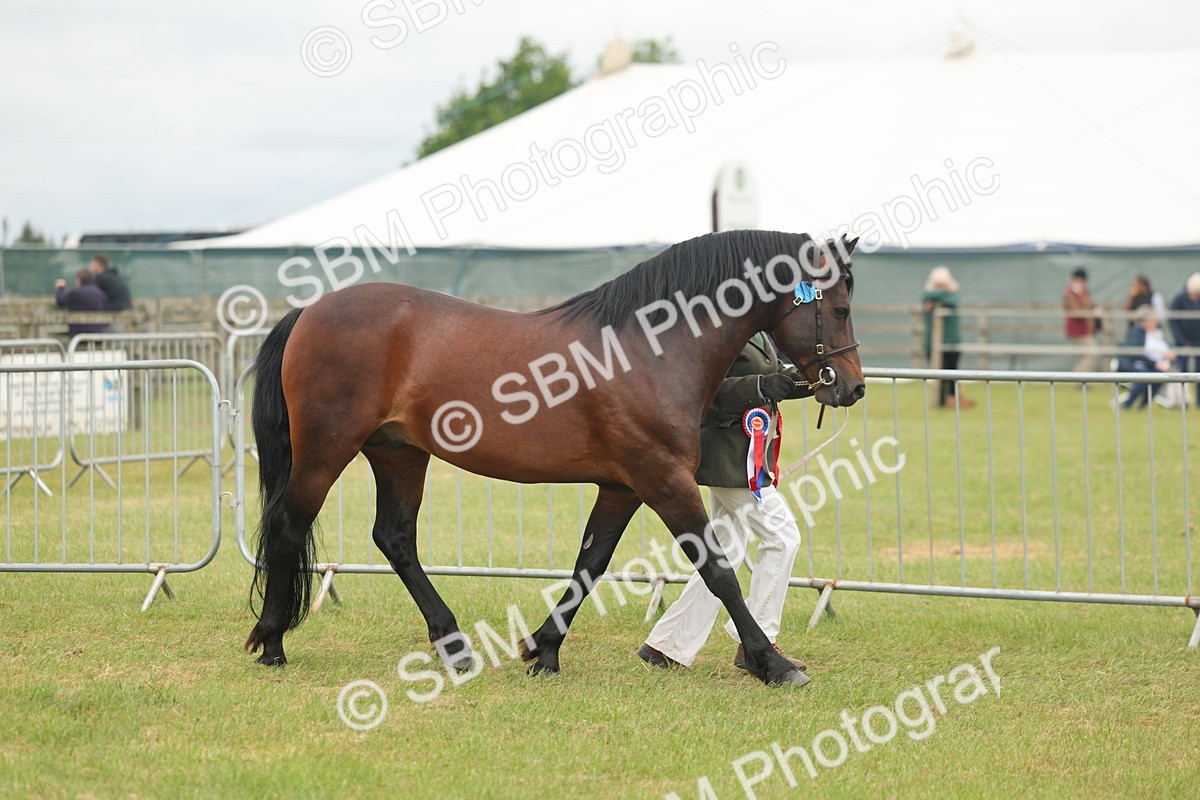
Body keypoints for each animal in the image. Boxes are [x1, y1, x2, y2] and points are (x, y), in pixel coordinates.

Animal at [244, 229, 864, 687]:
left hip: (399, 454)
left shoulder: (624, 487)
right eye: (837, 307)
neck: (648, 349)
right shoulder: (663, 480)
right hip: (326, 451)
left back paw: (454, 646)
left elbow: (589, 565)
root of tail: (309, 311)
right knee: (288, 526)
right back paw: (272, 642)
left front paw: (543, 651)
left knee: (394, 537)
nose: (852, 387)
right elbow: (718, 572)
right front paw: (774, 664)